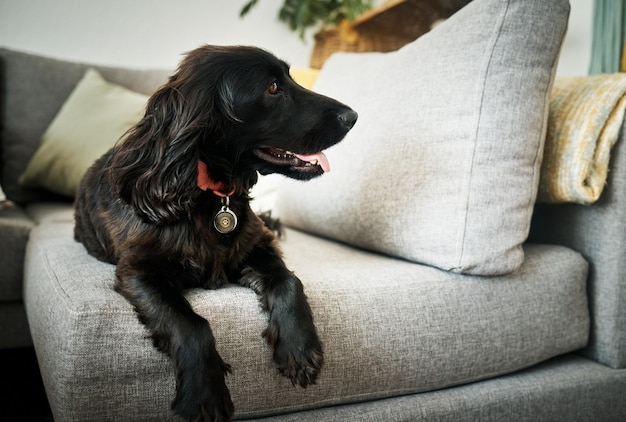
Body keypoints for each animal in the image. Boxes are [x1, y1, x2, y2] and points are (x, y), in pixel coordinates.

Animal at [73, 44, 356, 420]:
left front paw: (299, 346)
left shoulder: (256, 245)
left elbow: (289, 281)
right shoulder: (138, 270)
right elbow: (191, 324)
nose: (353, 116)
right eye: (272, 88)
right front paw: (204, 392)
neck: (209, 194)